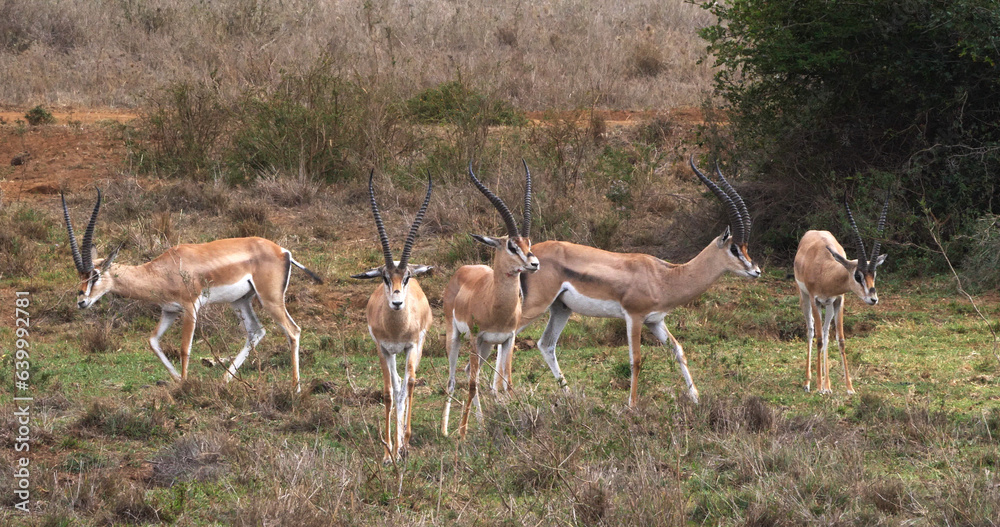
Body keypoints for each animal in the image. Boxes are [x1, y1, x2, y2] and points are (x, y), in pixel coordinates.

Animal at [61, 190, 322, 391]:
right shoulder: (169, 311)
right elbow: (153, 341)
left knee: (293, 331)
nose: (81, 302)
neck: (162, 270)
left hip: (270, 299)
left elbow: (185, 348)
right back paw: (224, 380)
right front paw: (178, 379)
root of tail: (282, 251)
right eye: (80, 276)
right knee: (256, 331)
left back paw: (295, 389)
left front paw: (185, 385)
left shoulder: (190, 308)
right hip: (239, 301)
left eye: (95, 275)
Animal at [351, 170, 434, 463]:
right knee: (396, 387)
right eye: (385, 277)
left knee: (406, 385)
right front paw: (388, 451)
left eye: (406, 277)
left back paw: (402, 446)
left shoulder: (411, 346)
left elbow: (409, 385)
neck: (397, 327)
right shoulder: (383, 349)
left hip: (417, 348)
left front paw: (404, 445)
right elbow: (388, 392)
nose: (397, 303)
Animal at [441, 161, 538, 438]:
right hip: (457, 338)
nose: (534, 263)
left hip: (486, 347)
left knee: (469, 372)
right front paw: (462, 434)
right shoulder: (476, 338)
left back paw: (482, 424)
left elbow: (506, 383)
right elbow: (473, 385)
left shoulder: (508, 339)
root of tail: (462, 270)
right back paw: (446, 430)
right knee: (453, 379)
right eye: (511, 246)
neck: (496, 306)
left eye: (528, 242)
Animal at [513, 156, 760, 407]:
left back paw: (569, 395)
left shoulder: (656, 321)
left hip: (561, 308)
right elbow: (636, 360)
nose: (756, 271)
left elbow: (678, 350)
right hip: (536, 306)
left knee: (546, 344)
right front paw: (631, 405)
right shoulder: (634, 317)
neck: (664, 277)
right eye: (734, 248)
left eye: (746, 247)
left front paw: (696, 399)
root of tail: (530, 255)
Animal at [794, 193, 889, 394]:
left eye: (874, 274)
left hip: (829, 305)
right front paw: (818, 386)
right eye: (857, 275)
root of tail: (813, 231)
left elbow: (841, 339)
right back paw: (808, 383)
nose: (873, 299)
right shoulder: (815, 300)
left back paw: (828, 386)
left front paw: (849, 388)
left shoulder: (839, 300)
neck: (825, 271)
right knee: (812, 331)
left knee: (827, 333)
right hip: (804, 299)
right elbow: (818, 339)